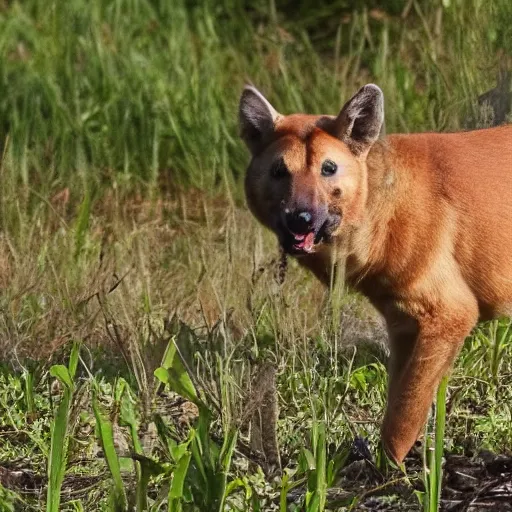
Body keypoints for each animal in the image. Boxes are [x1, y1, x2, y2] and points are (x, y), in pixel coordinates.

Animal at [238, 84, 512, 464]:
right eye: (279, 171)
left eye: (329, 168)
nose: (300, 218)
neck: (385, 211)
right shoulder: (402, 323)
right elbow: (395, 405)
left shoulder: (451, 314)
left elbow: (402, 419)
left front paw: (392, 473)